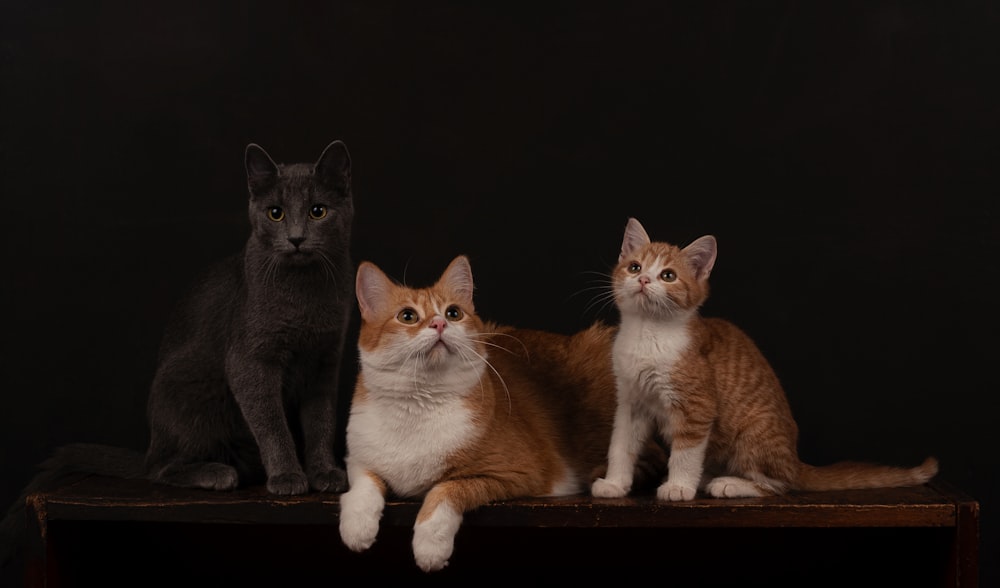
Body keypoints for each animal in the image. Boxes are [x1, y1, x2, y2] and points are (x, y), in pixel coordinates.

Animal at [0, 141, 358, 564]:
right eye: (276, 213)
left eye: (318, 211)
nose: (297, 238)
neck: (305, 296)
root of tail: (149, 445)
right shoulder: (249, 361)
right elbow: (271, 422)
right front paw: (288, 476)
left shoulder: (324, 361)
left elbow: (321, 420)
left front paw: (325, 473)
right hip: (188, 390)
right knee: (160, 468)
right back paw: (218, 473)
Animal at [340, 255, 668, 572]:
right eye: (407, 316)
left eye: (453, 313)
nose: (439, 324)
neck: (419, 405)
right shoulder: (358, 458)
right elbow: (363, 486)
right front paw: (357, 527)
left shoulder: (516, 472)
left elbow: (447, 489)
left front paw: (430, 546)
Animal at [588, 218, 932, 504]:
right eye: (635, 267)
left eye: (668, 276)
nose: (644, 280)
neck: (647, 334)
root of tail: (795, 461)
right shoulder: (631, 402)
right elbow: (620, 444)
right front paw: (615, 483)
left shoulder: (698, 405)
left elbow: (686, 452)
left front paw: (678, 486)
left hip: (754, 432)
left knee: (780, 485)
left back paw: (728, 484)